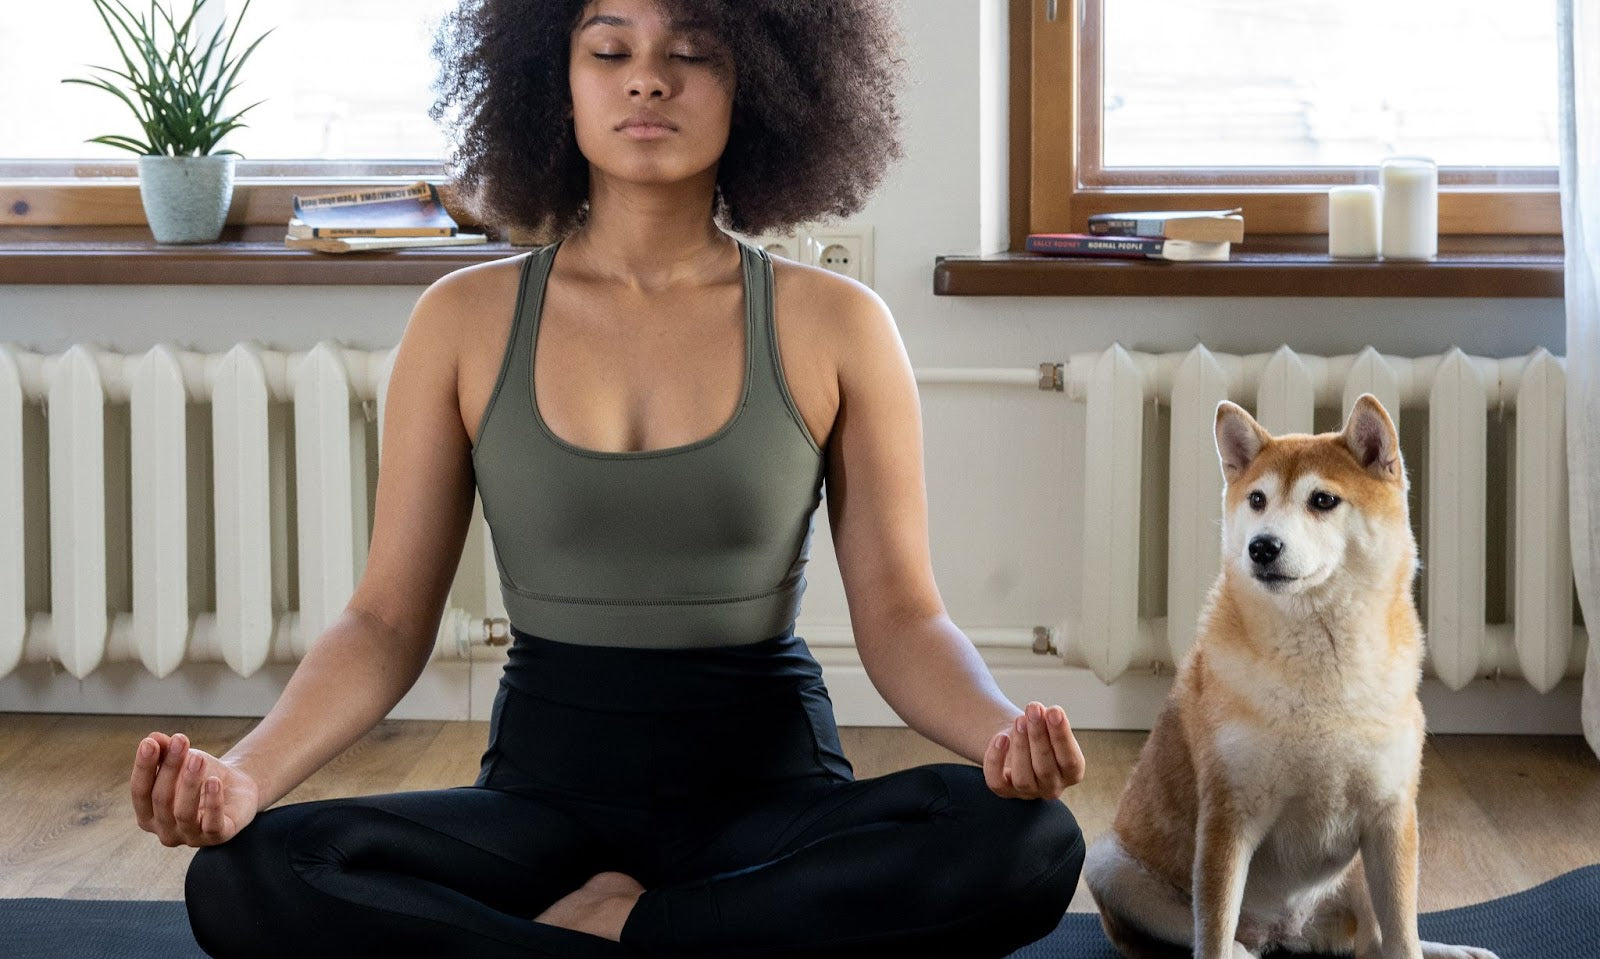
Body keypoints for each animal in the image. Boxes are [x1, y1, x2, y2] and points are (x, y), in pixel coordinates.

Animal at [1081, 395, 1491, 959]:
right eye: (1257, 499)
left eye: (1323, 500)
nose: (1262, 546)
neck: (1321, 668)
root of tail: (1284, 932)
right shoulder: (1228, 819)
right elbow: (1212, 931)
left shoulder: (1391, 818)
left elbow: (1403, 937)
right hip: (1110, 864)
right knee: (1219, 938)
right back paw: (1243, 951)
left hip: (1359, 874)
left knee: (1377, 942)